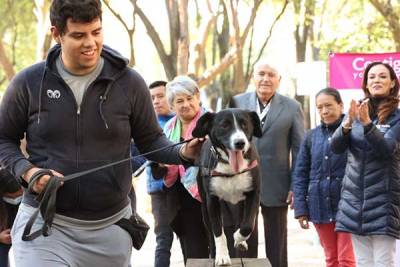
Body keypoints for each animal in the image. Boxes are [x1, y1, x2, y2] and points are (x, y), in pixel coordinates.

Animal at [191, 108, 260, 266]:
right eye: (224, 126)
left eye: (244, 124)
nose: (240, 142)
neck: (230, 168)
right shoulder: (212, 200)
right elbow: (218, 231)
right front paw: (222, 255)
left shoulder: (253, 193)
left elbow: (248, 225)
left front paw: (238, 238)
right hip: (204, 208)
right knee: (210, 232)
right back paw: (214, 252)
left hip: (241, 202)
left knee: (243, 219)